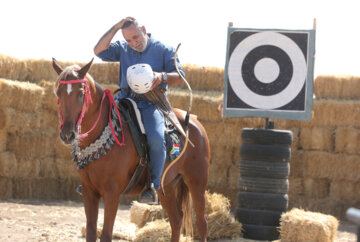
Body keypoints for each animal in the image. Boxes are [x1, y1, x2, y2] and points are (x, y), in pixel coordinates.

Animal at [53, 57, 211, 241]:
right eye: (58, 93)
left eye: (81, 93)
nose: (67, 134)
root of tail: (192, 120)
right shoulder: (88, 191)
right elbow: (91, 231)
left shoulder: (112, 192)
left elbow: (106, 234)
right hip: (168, 185)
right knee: (176, 219)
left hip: (196, 181)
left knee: (201, 221)